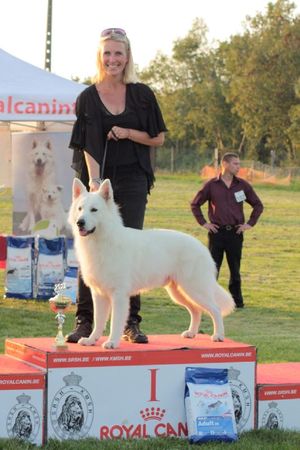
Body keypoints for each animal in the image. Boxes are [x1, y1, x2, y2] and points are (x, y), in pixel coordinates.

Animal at [68, 178, 234, 350]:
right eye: (80, 209)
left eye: (94, 210)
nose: (80, 222)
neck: (102, 240)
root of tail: (202, 247)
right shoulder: (99, 294)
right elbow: (99, 321)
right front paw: (91, 340)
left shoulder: (119, 295)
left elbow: (115, 322)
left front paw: (112, 342)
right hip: (179, 292)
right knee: (196, 310)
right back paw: (191, 333)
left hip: (195, 289)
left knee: (215, 309)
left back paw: (219, 335)